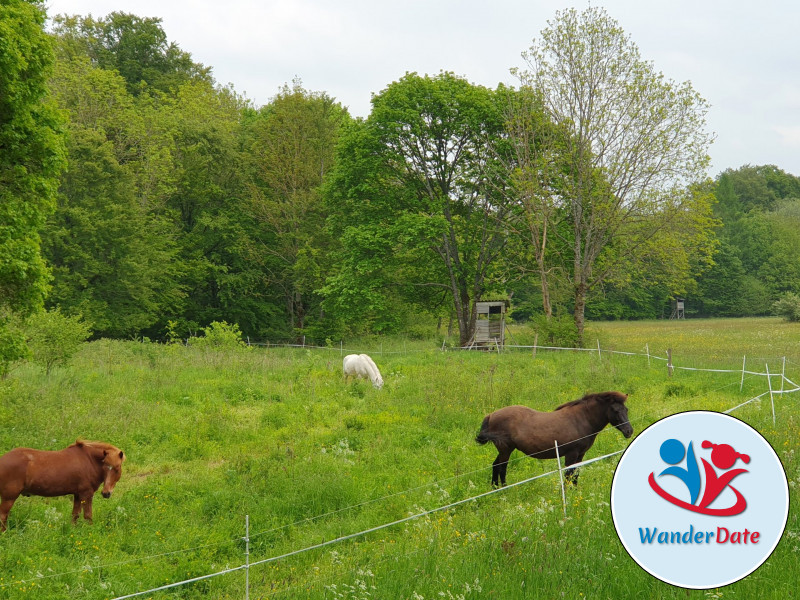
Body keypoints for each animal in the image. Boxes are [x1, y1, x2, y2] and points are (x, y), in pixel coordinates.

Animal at [476, 390, 632, 488]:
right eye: (616, 410)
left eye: (626, 410)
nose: (629, 431)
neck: (581, 420)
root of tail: (491, 415)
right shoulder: (571, 454)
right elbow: (568, 475)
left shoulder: (581, 454)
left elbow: (575, 474)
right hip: (505, 450)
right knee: (501, 468)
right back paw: (504, 489)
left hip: (505, 450)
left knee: (495, 465)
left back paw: (495, 488)